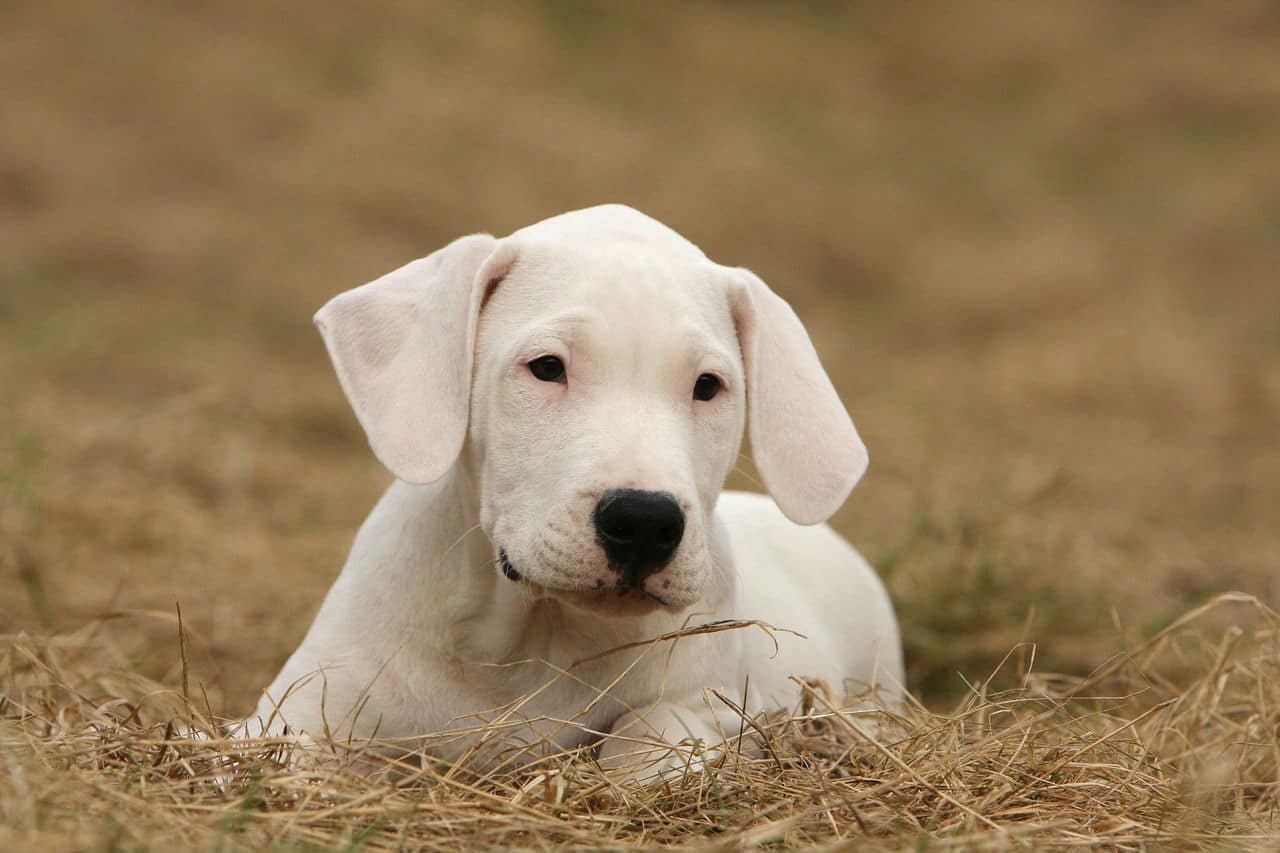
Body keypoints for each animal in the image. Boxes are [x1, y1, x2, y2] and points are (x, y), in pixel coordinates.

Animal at [249, 202, 901, 773]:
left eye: (708, 386)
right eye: (546, 368)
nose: (644, 523)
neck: (532, 642)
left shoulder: (709, 706)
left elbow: (650, 734)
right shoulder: (297, 710)